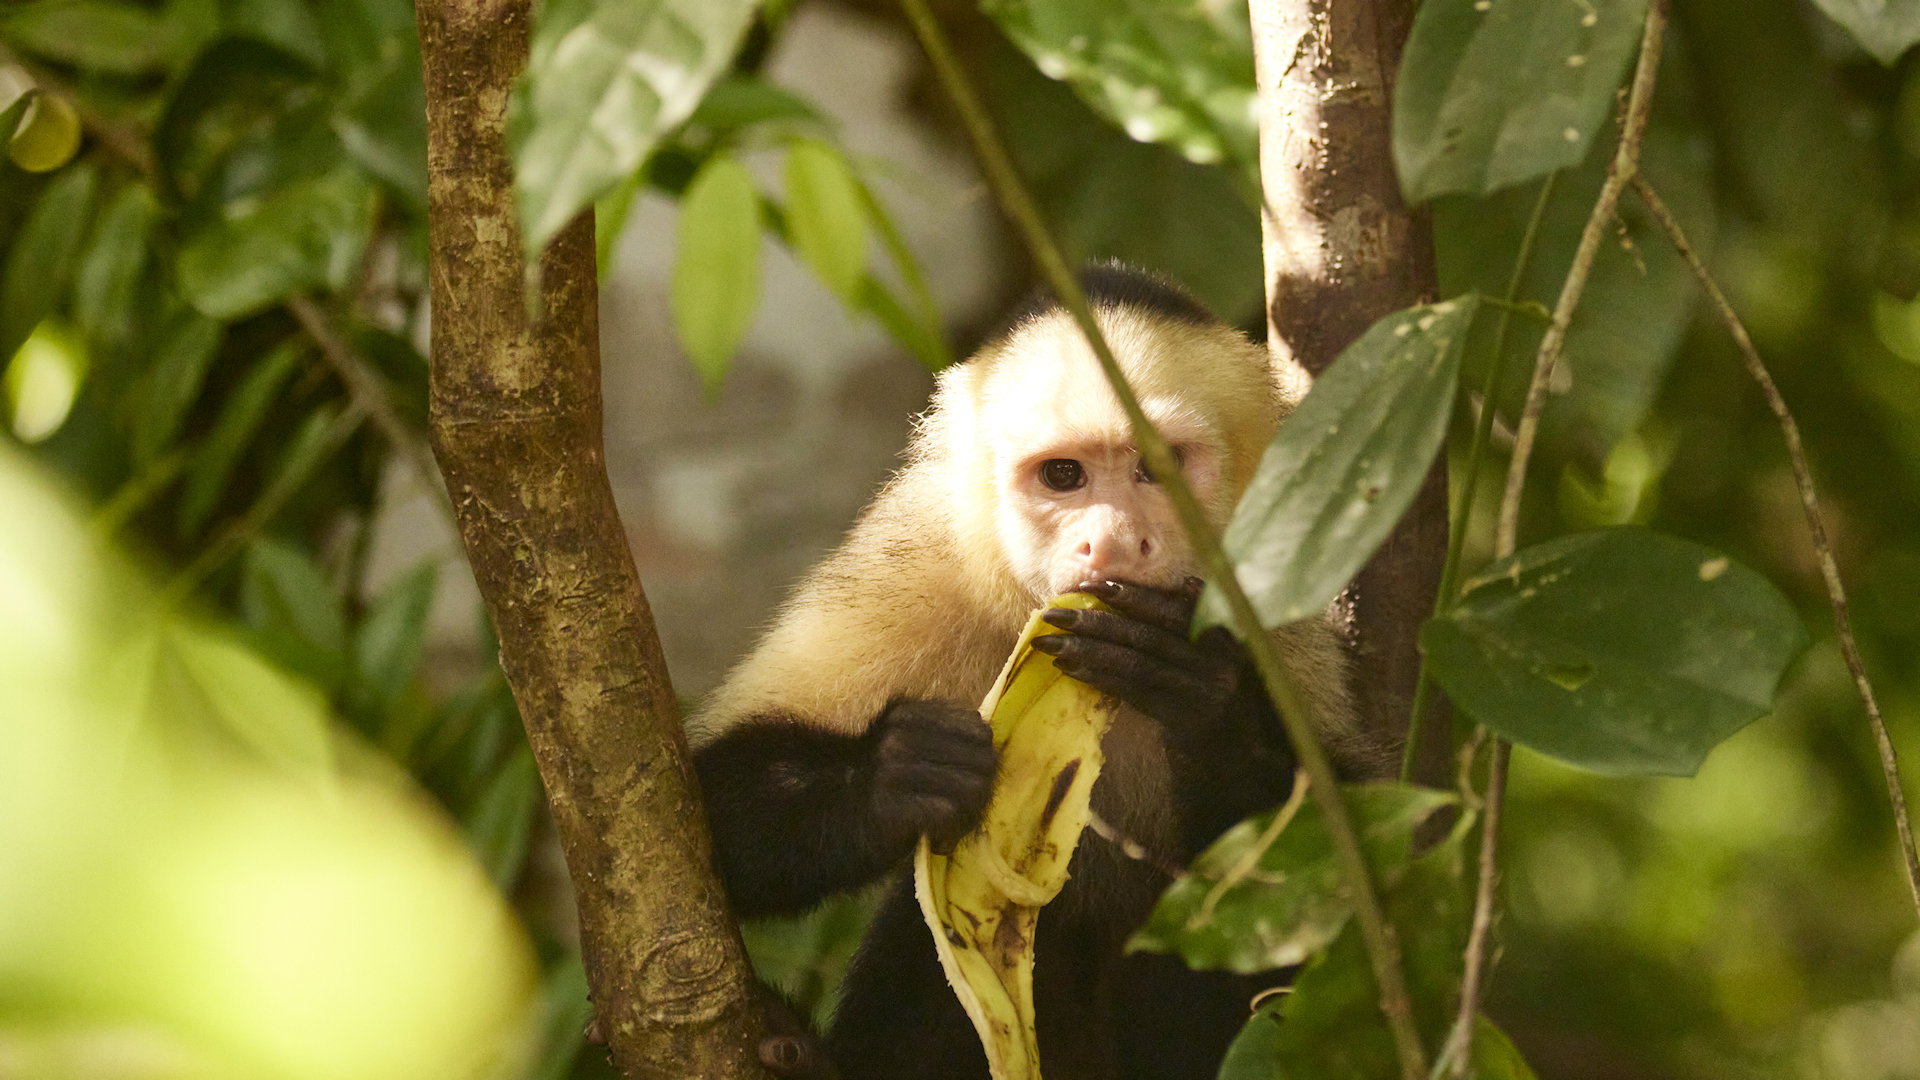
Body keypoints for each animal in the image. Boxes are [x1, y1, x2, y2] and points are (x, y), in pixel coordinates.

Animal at [698, 263, 1374, 1076]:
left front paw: (1204, 696)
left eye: (1158, 468)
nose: (1113, 541)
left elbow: (1360, 893)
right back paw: (798, 1056)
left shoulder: (1274, 606)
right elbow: (706, 816)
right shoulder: (922, 565)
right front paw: (896, 771)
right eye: (1063, 475)